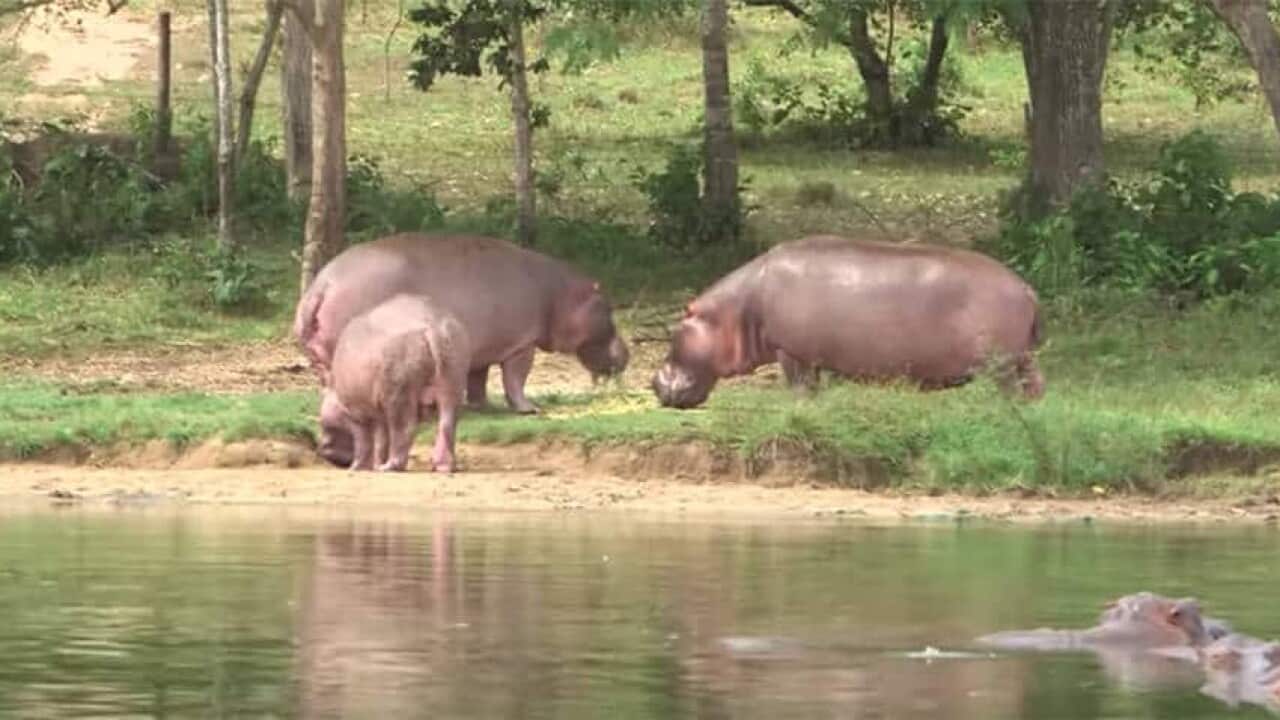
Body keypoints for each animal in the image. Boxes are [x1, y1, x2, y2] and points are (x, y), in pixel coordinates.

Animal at [295, 233, 629, 416]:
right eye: (608, 307)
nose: (628, 353)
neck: (559, 294)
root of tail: (323, 283)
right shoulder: (522, 344)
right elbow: (516, 379)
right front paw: (530, 409)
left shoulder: (484, 347)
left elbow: (478, 379)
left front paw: (481, 406)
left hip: (323, 355)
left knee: (328, 382)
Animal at [317, 295, 470, 473]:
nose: (321, 448)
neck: (333, 389)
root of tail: (433, 327)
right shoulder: (379, 412)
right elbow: (382, 439)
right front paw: (376, 464)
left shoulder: (357, 414)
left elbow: (366, 441)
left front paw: (359, 468)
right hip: (454, 376)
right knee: (447, 423)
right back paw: (443, 467)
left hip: (398, 391)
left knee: (404, 428)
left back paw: (389, 467)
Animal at [651, 236, 1044, 409]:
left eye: (678, 326)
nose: (654, 383)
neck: (737, 307)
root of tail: (1025, 287)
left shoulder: (791, 351)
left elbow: (798, 386)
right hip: (1023, 357)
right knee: (1035, 385)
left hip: (999, 363)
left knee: (1009, 391)